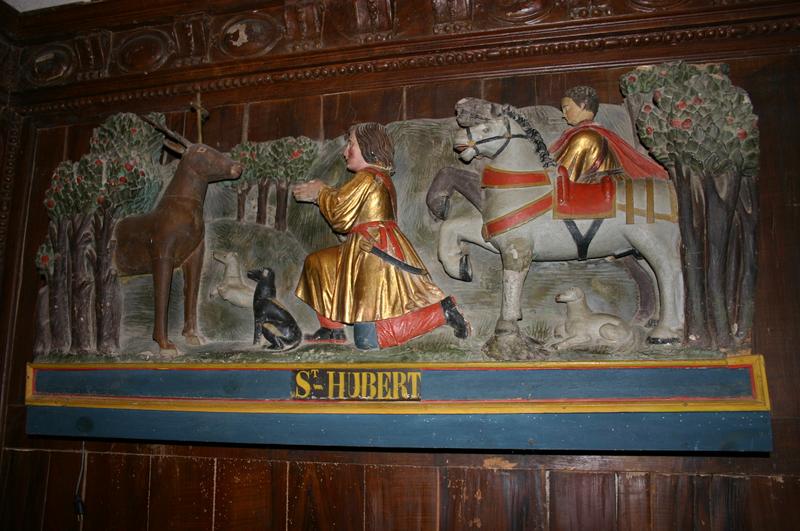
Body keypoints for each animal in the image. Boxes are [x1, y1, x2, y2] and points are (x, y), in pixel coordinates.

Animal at [440, 97, 684, 360]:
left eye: (486, 128)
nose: (458, 139)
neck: (525, 187)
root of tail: (669, 191)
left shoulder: (517, 247)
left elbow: (511, 286)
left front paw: (506, 330)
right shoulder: (495, 236)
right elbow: (450, 226)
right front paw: (460, 267)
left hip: (654, 243)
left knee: (668, 274)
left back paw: (664, 333)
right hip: (636, 249)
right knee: (659, 277)